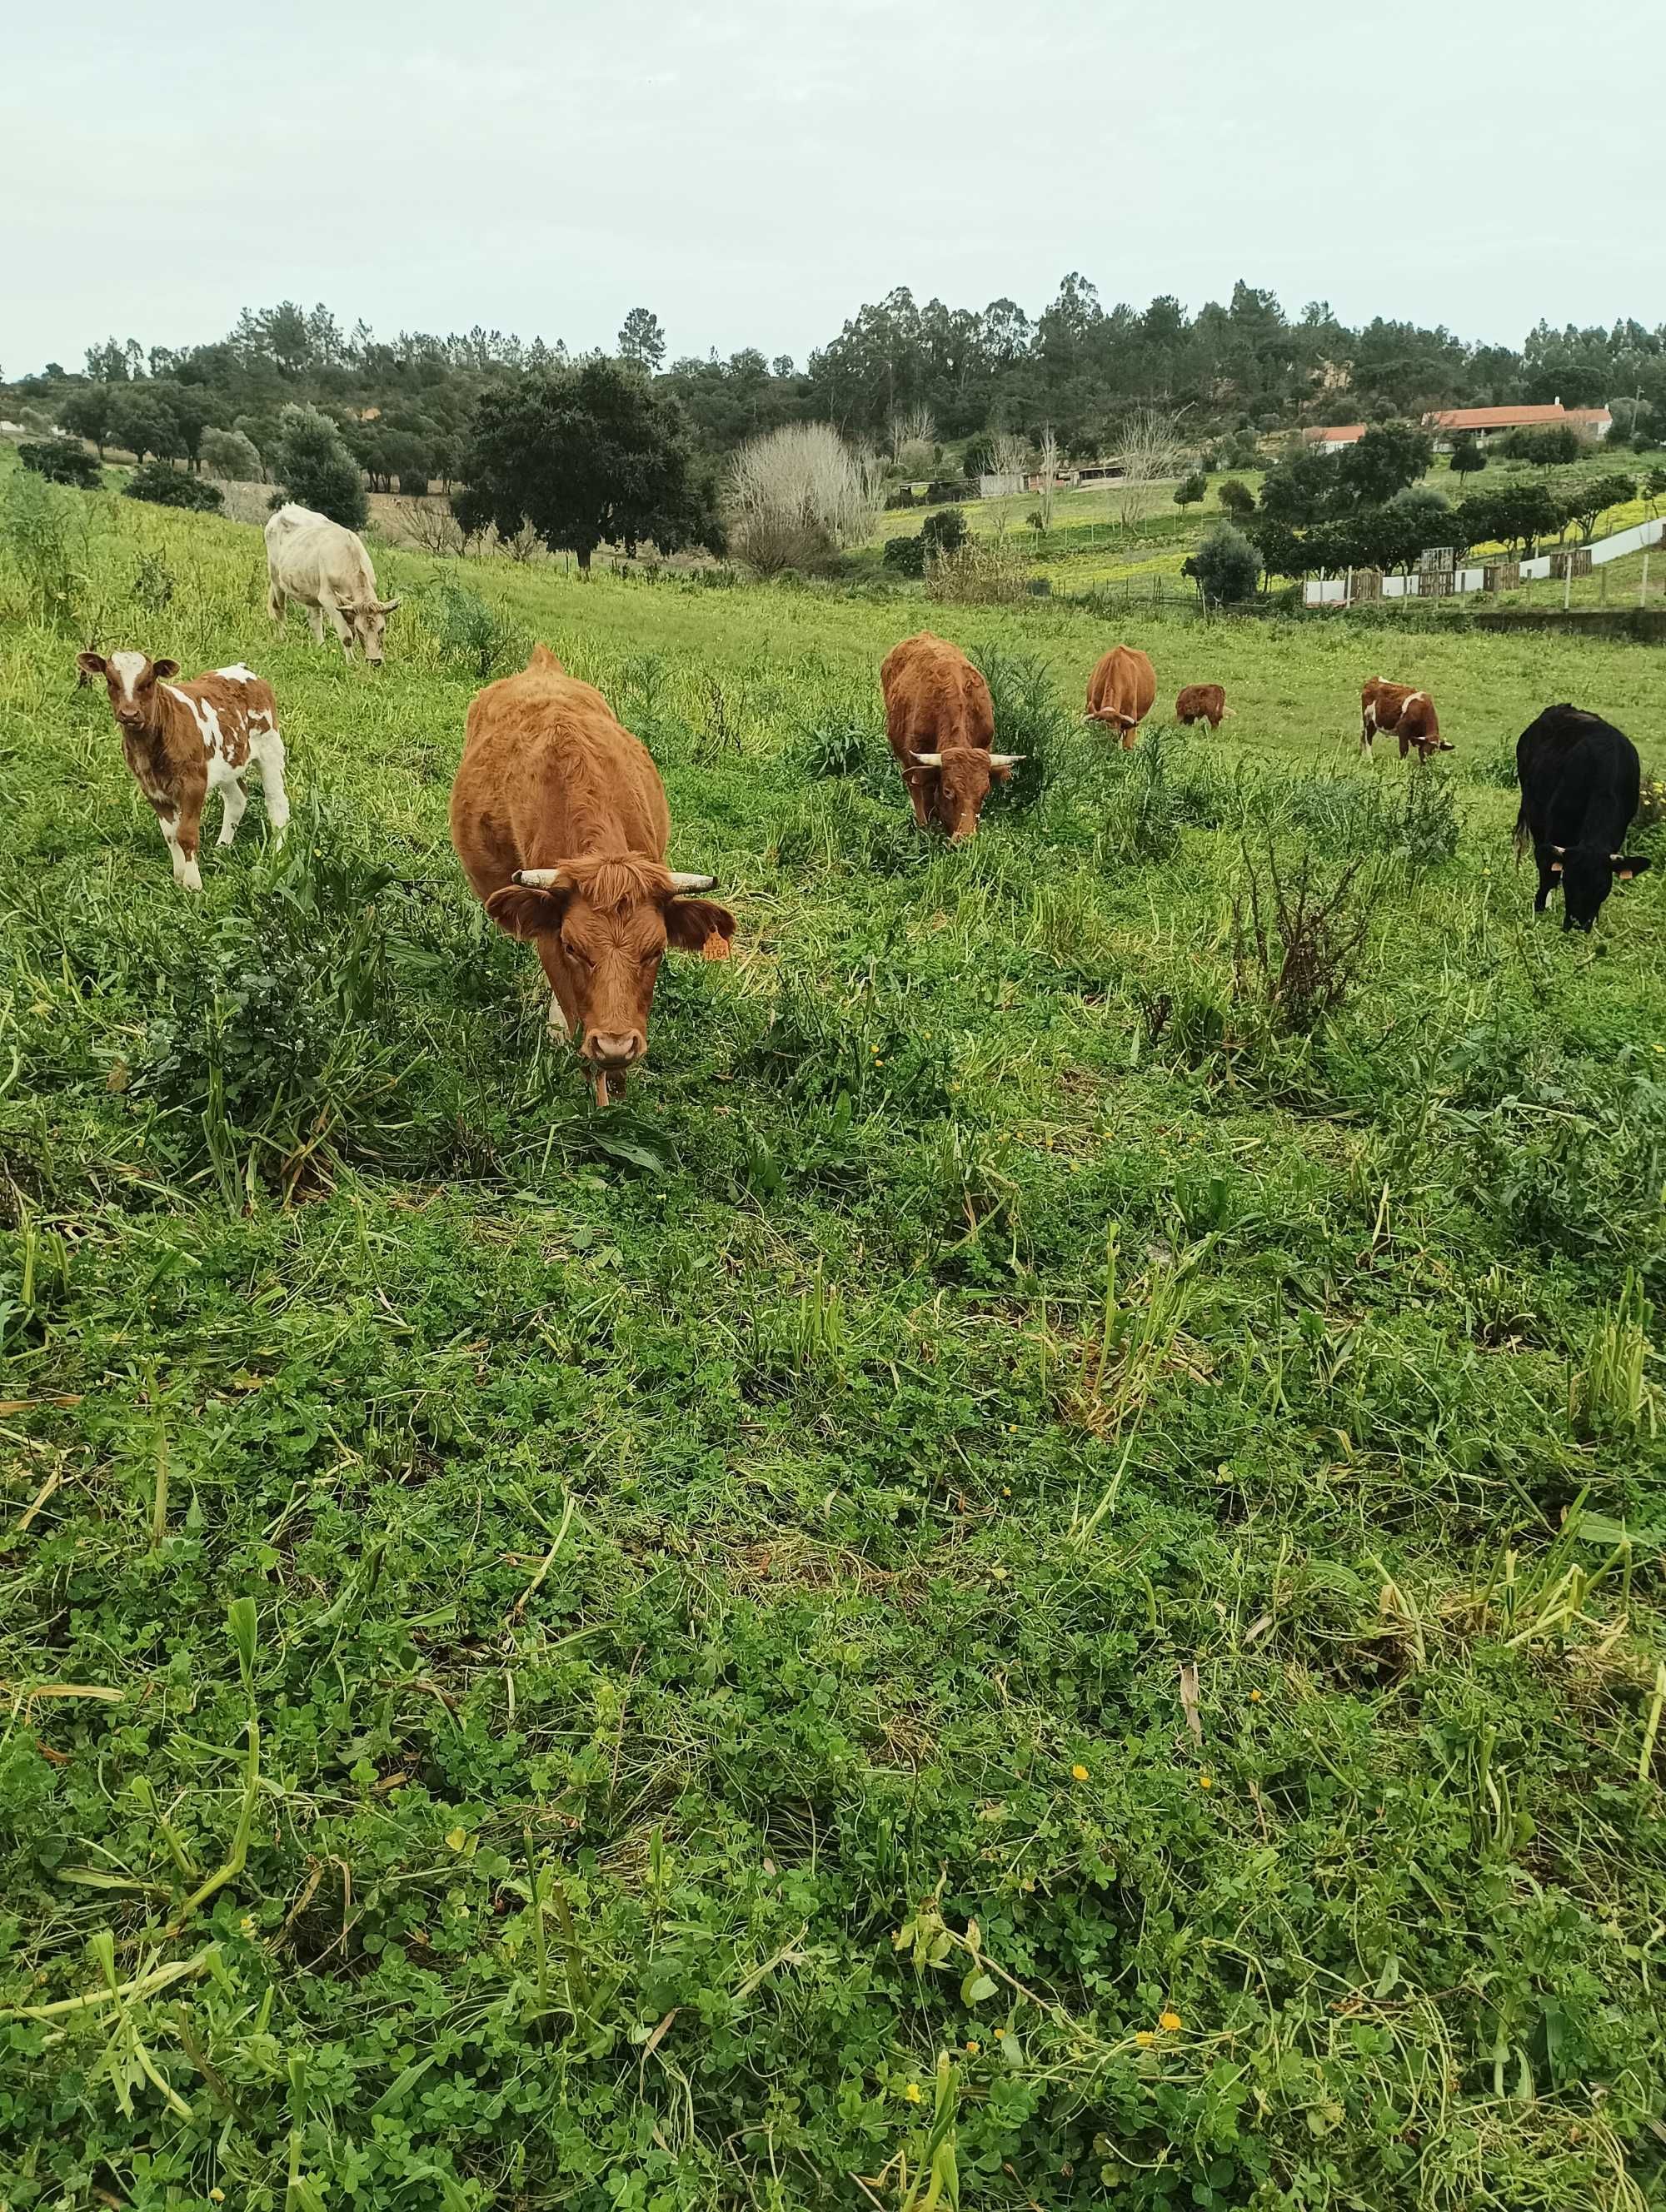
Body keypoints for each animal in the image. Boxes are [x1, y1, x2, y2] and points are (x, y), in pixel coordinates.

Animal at [74, 645, 289, 889]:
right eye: (111, 681)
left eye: (148, 682)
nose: (129, 714)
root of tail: (243, 670)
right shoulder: (152, 788)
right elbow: (171, 834)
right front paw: (179, 877)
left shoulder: (194, 784)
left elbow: (186, 834)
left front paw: (193, 883)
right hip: (228, 761)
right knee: (237, 798)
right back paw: (222, 848)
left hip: (270, 749)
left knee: (277, 804)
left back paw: (278, 854)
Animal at [263, 504, 400, 659]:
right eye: (360, 630)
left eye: (382, 629)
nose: (375, 660)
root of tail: (286, 508)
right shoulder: (328, 598)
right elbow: (347, 636)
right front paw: (351, 662)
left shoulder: (348, 606)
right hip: (276, 579)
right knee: (279, 609)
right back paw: (282, 638)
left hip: (311, 590)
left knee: (315, 620)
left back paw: (321, 648)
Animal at [1513, 707, 1646, 933]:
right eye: (1569, 882)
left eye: (1602, 887)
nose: (1578, 925)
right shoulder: (1556, 829)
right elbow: (1549, 872)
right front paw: (1539, 908)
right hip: (1533, 809)